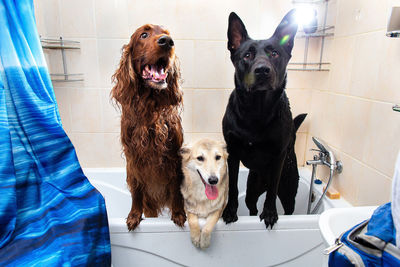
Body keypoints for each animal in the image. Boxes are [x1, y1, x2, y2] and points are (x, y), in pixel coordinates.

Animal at [111, 24, 186, 231]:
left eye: (168, 35)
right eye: (143, 34)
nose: (167, 42)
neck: (151, 108)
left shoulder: (174, 157)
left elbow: (176, 190)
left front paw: (178, 214)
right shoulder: (133, 159)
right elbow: (136, 190)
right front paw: (134, 215)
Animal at [222, 9, 306, 229]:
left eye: (274, 54)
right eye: (247, 55)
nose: (262, 70)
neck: (256, 110)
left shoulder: (278, 156)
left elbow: (272, 193)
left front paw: (269, 212)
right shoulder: (232, 153)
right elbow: (233, 187)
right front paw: (230, 211)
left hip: (288, 190)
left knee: (285, 205)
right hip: (252, 190)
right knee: (251, 206)